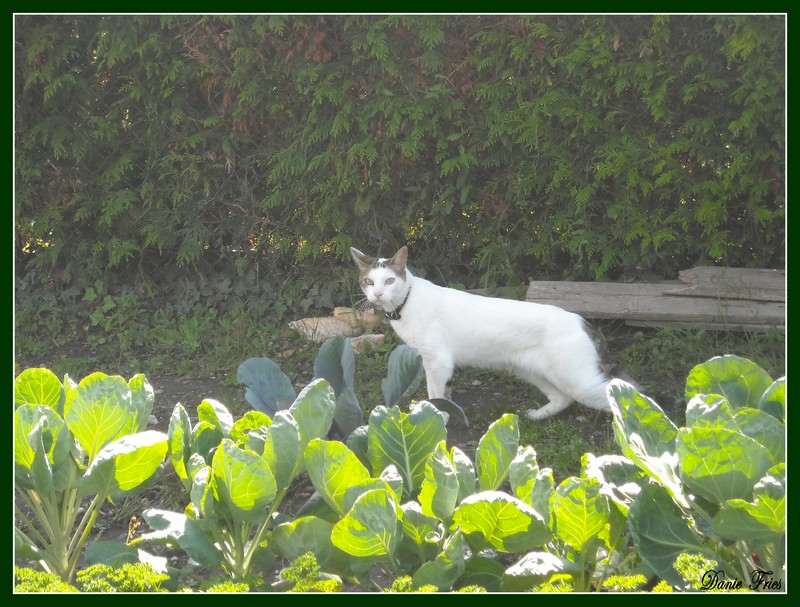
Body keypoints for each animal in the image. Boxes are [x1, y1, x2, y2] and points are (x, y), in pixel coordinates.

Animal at [350, 245, 635, 421]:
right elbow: (445, 393)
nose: (377, 294)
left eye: (389, 281)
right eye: (368, 282)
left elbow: (436, 394)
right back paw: (537, 416)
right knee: (563, 398)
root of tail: (581, 320)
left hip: (577, 380)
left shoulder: (437, 362)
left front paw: (438, 417)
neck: (406, 303)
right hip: (535, 371)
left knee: (625, 395)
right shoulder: (436, 363)